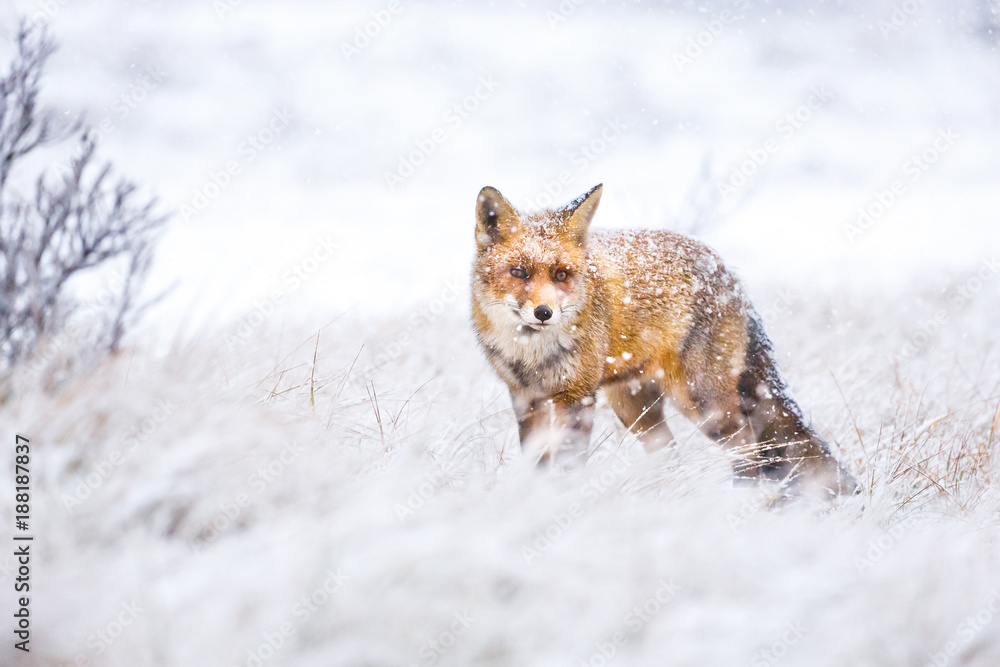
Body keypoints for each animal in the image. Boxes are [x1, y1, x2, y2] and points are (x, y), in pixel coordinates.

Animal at [470, 183, 859, 498]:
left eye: (561, 274)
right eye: (519, 272)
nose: (544, 312)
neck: (531, 355)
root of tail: (726, 270)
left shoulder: (576, 397)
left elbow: (567, 465)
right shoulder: (526, 399)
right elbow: (536, 464)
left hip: (702, 403)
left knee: (748, 447)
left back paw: (740, 500)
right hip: (634, 407)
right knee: (672, 451)